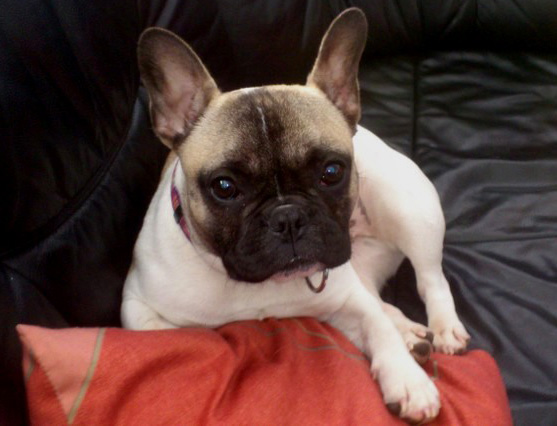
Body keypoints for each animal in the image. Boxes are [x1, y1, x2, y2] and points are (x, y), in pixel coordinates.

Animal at [122, 8, 470, 423]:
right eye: (224, 187)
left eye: (332, 171)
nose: (287, 217)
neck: (257, 288)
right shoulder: (138, 307)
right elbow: (167, 335)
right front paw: (404, 353)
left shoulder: (348, 300)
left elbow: (376, 325)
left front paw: (407, 381)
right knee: (383, 297)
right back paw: (412, 334)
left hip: (410, 211)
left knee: (430, 279)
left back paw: (443, 329)